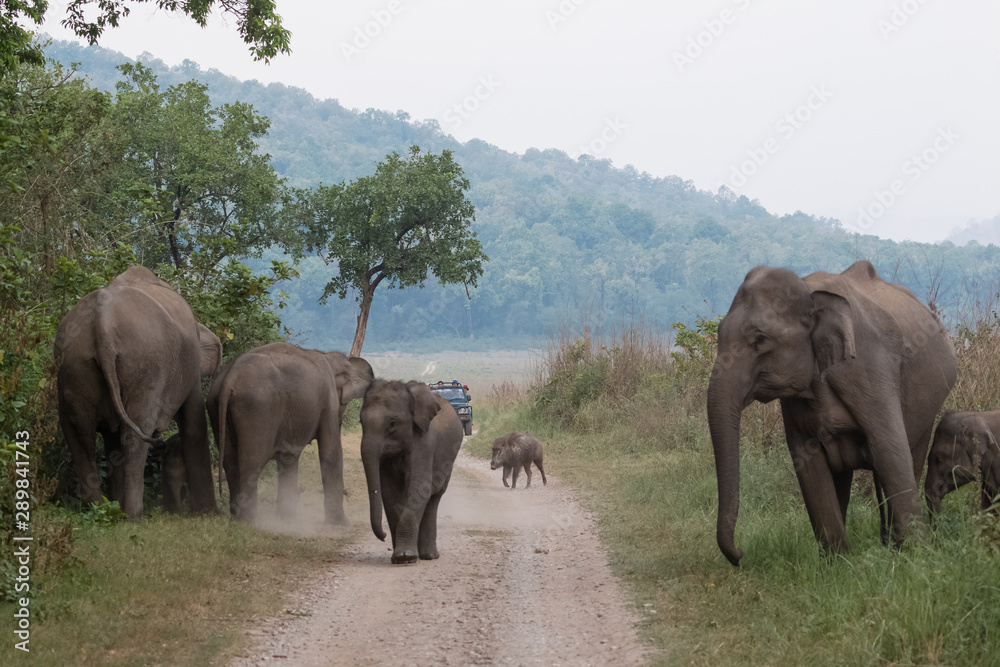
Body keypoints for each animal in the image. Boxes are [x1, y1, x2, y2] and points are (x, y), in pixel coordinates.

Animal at [55, 266, 219, 520]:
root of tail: (102, 323)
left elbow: (111, 439)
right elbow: (194, 426)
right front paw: (208, 512)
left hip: (73, 366)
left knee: (78, 435)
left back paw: (103, 510)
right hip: (145, 366)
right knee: (135, 435)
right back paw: (133, 516)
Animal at [207, 342, 374, 524]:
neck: (328, 356)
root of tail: (231, 377)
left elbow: (289, 457)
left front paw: (288, 518)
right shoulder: (328, 399)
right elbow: (330, 453)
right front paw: (342, 524)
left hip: (215, 406)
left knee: (230, 463)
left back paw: (238, 518)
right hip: (257, 409)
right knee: (251, 463)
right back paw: (250, 521)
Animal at [360, 380, 463, 564]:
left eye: (392, 423)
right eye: (360, 422)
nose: (383, 536)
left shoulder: (424, 442)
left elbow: (419, 489)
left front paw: (405, 556)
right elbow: (390, 493)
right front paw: (399, 558)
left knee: (434, 498)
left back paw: (429, 556)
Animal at [707, 260, 957, 565]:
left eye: (760, 339)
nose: (740, 554)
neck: (809, 291)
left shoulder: (872, 369)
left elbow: (889, 451)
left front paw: (915, 559)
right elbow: (809, 464)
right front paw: (839, 564)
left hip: (929, 405)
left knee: (913, 455)